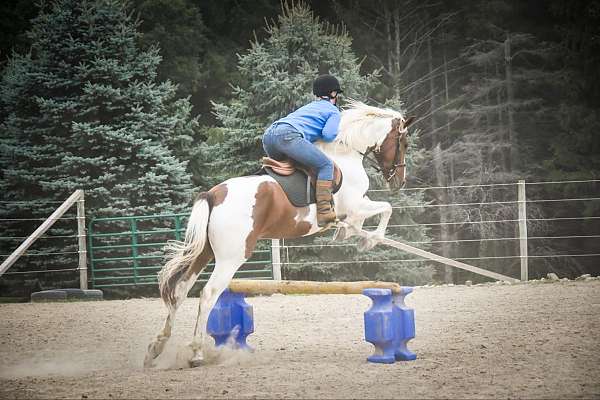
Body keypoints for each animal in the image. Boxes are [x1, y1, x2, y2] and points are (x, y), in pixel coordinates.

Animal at [143, 99, 414, 366]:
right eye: (404, 144)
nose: (399, 181)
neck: (346, 153)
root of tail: (213, 194)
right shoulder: (355, 205)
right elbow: (385, 209)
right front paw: (368, 240)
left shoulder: (357, 205)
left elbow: (377, 212)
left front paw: (351, 235)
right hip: (231, 257)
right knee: (209, 293)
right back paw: (197, 353)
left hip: (205, 252)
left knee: (180, 289)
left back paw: (156, 347)